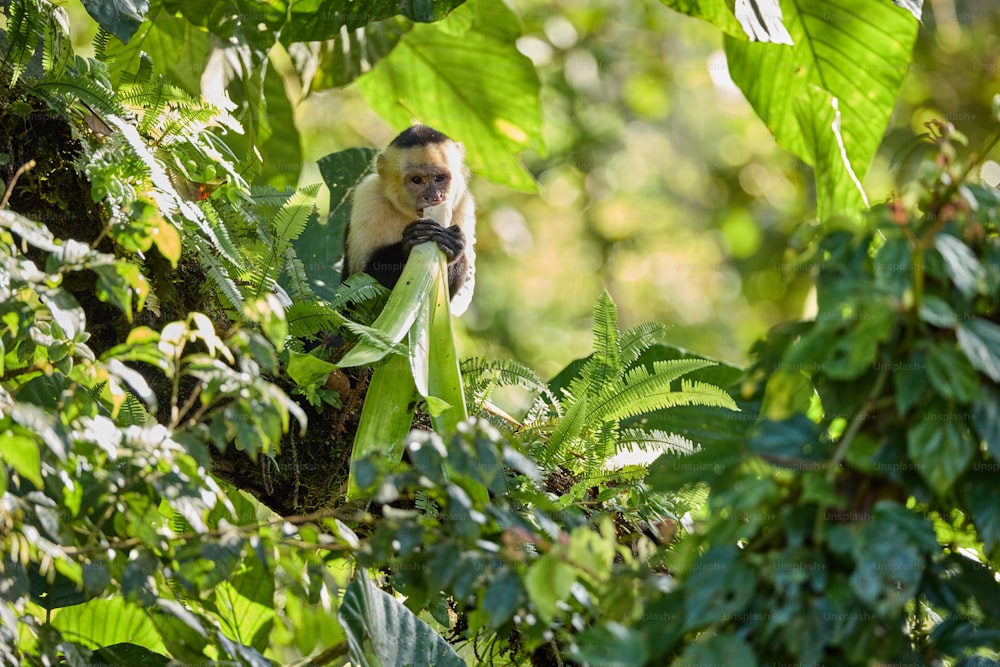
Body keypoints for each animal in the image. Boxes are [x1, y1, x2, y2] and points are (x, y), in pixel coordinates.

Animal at [342, 126, 478, 318]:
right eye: (417, 180)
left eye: (439, 178)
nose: (433, 197)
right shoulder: (368, 196)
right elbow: (358, 284)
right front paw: (409, 241)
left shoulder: (463, 204)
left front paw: (453, 244)